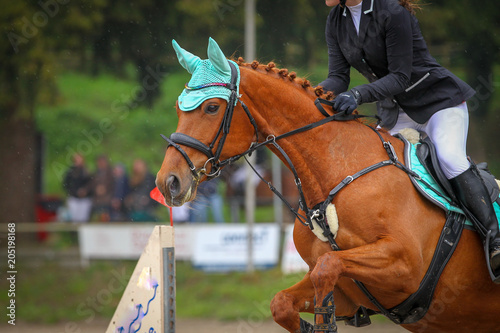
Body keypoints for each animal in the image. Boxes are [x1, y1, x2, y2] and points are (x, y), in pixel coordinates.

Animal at [156, 38, 500, 330]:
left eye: (212, 107)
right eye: (177, 108)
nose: (168, 182)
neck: (334, 174)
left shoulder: (404, 265)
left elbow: (328, 266)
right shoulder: (350, 292)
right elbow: (283, 302)